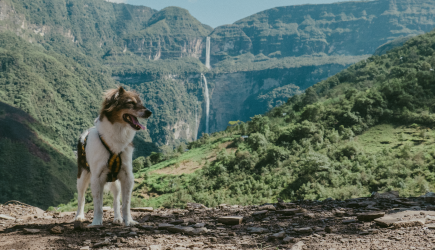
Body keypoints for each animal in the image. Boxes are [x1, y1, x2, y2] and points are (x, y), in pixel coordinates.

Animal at [73, 86, 152, 227]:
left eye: (140, 102)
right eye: (130, 103)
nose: (149, 112)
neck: (117, 135)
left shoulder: (127, 176)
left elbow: (126, 203)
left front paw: (129, 220)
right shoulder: (96, 178)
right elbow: (98, 204)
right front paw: (96, 222)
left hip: (116, 182)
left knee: (116, 200)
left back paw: (117, 218)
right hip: (82, 176)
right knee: (81, 197)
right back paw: (79, 216)